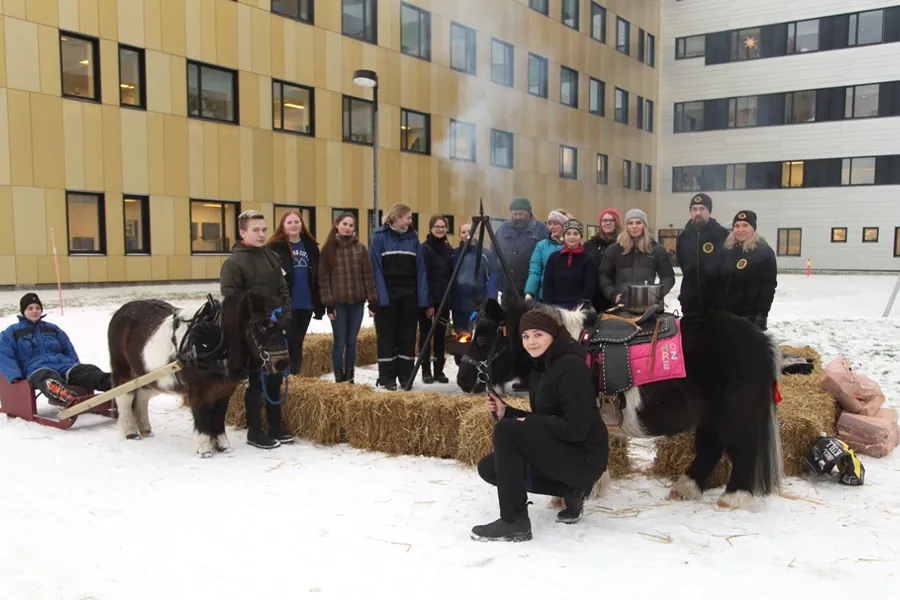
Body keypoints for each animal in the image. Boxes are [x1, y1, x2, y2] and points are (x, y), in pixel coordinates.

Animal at [106, 290, 290, 454]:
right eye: (262, 327)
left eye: (283, 327)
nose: (282, 363)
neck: (212, 347)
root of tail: (121, 312)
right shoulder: (197, 391)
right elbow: (202, 415)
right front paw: (204, 448)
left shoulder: (225, 391)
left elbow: (218, 417)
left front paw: (223, 445)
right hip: (123, 370)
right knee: (124, 398)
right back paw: (130, 432)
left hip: (146, 375)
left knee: (142, 398)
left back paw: (145, 429)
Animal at [454, 298, 784, 508]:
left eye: (482, 339)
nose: (463, 378)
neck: (563, 348)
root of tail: (761, 341)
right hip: (710, 417)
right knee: (711, 449)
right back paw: (686, 488)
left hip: (734, 414)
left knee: (741, 449)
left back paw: (734, 497)